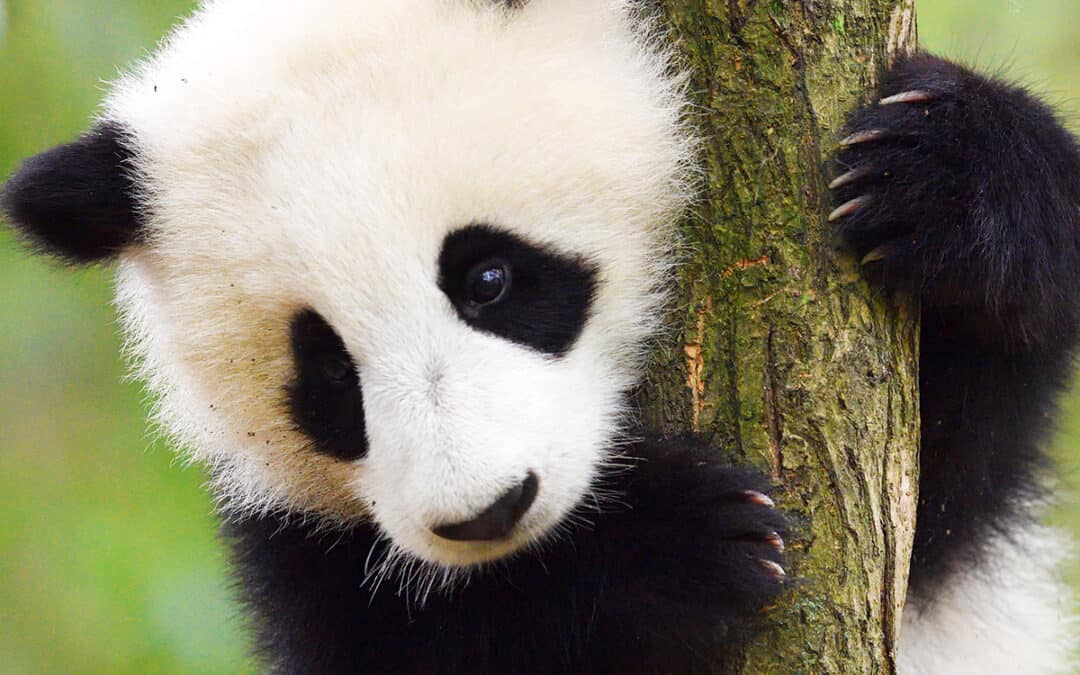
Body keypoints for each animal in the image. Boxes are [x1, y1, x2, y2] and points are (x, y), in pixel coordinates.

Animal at [3, 0, 1080, 673]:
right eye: (328, 378)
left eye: (489, 278)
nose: (489, 512)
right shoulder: (292, 538)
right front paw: (670, 543)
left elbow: (942, 483)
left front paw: (945, 172)